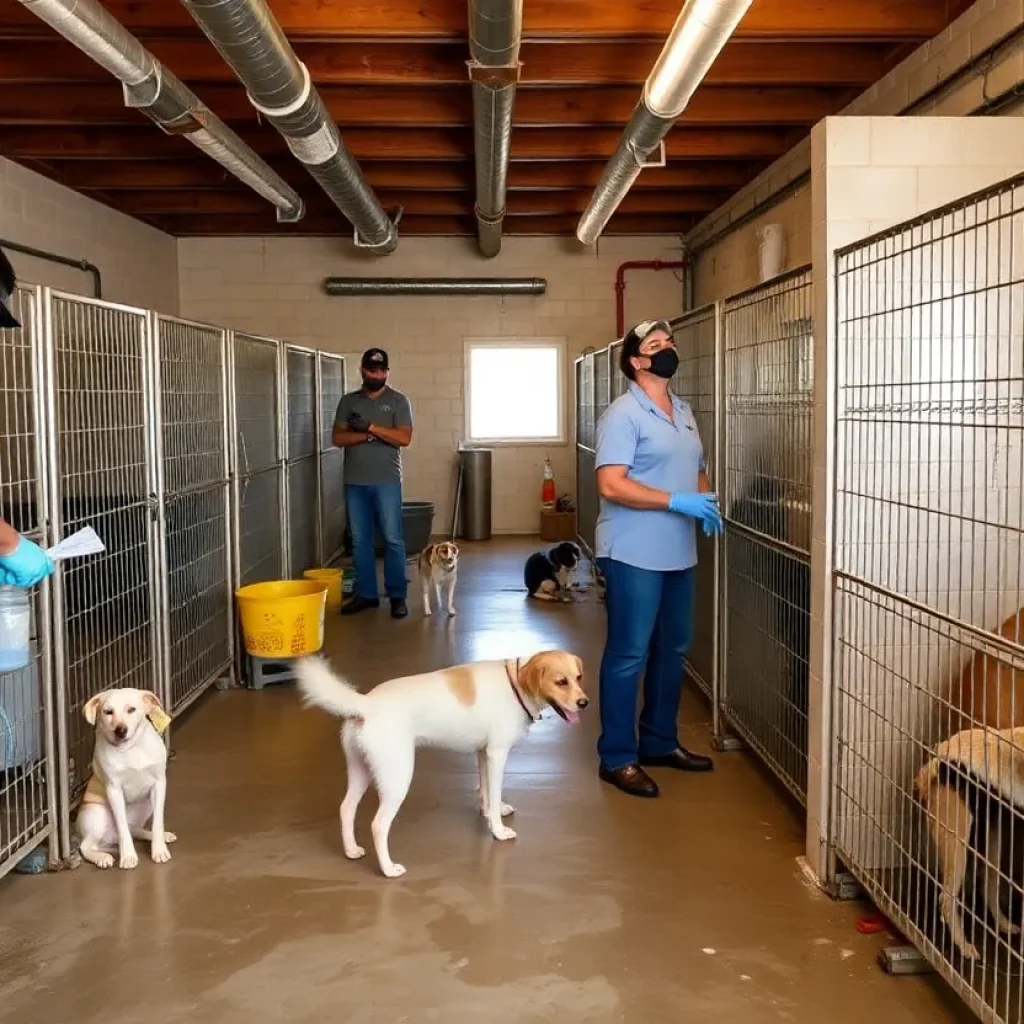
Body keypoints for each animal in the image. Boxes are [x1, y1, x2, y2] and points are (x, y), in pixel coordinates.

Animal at [75, 688, 175, 872]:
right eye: (108, 712)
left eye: (131, 709)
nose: (120, 730)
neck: (131, 749)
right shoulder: (114, 791)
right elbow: (123, 829)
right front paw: (128, 856)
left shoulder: (159, 785)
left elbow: (157, 823)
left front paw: (159, 850)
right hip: (97, 815)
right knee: (86, 846)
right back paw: (102, 857)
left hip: (145, 805)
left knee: (135, 830)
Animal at [292, 647, 589, 880]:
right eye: (561, 682)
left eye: (578, 678)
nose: (584, 702)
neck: (516, 683)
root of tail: (366, 704)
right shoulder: (497, 754)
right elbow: (494, 793)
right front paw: (498, 830)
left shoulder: (483, 754)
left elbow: (485, 791)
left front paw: (488, 811)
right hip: (398, 777)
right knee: (378, 825)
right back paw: (388, 869)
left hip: (361, 771)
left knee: (346, 808)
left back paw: (351, 850)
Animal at [913, 724, 1024, 954]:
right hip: (957, 836)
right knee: (947, 896)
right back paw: (964, 946)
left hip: (991, 827)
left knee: (989, 882)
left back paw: (1003, 923)